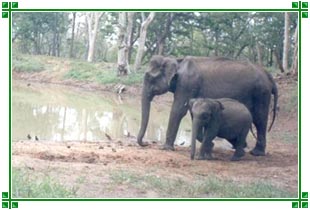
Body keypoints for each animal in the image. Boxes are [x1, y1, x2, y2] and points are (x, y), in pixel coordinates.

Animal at [137, 55, 278, 156]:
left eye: (149, 78)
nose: (145, 144)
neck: (177, 60)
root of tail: (269, 76)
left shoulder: (187, 84)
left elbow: (178, 110)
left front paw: (166, 148)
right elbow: (192, 113)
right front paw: (210, 145)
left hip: (261, 94)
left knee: (259, 119)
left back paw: (256, 153)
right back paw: (240, 145)